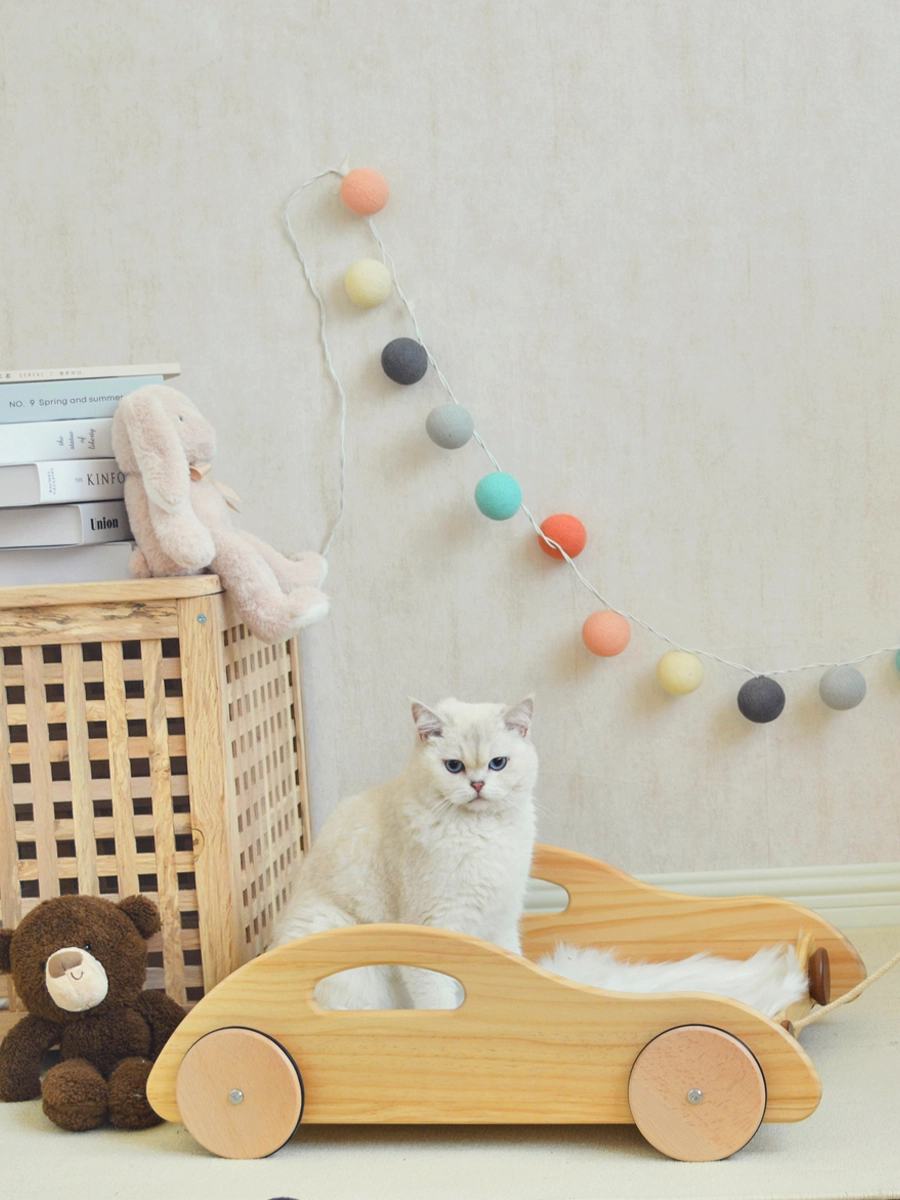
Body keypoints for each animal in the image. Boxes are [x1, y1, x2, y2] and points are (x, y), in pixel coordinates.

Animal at [271, 700, 540, 1008]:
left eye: (498, 763)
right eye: (454, 766)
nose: (477, 785)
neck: (482, 832)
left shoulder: (501, 922)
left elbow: (514, 968)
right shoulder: (431, 929)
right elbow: (439, 1003)